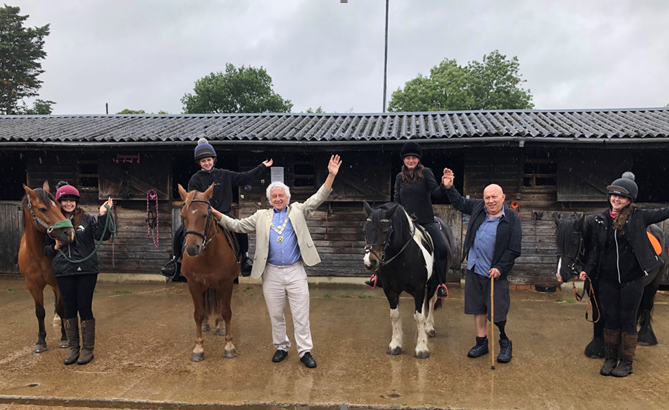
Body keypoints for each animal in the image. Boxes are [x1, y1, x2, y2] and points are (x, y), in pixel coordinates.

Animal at [19, 182, 75, 352]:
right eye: (43, 209)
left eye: (58, 206)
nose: (69, 233)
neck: (37, 254)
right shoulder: (32, 285)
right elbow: (40, 312)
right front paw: (40, 341)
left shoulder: (57, 282)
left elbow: (62, 308)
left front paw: (64, 338)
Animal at [177, 183, 240, 362]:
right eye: (183, 216)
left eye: (205, 215)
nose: (192, 248)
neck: (208, 255)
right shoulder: (193, 284)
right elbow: (198, 313)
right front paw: (198, 348)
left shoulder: (226, 283)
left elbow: (226, 312)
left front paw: (229, 346)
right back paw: (206, 324)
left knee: (218, 303)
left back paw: (219, 325)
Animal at [362, 202, 456, 358]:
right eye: (365, 230)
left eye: (385, 231)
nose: (369, 262)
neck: (400, 259)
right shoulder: (390, 290)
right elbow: (394, 315)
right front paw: (395, 345)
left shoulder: (419, 289)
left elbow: (420, 316)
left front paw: (422, 348)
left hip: (434, 283)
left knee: (431, 301)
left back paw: (429, 327)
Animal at [552, 213, 664, 358]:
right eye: (557, 242)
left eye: (575, 242)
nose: (561, 274)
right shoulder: (594, 288)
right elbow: (598, 314)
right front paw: (597, 347)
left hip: (653, 283)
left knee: (646, 306)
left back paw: (645, 337)